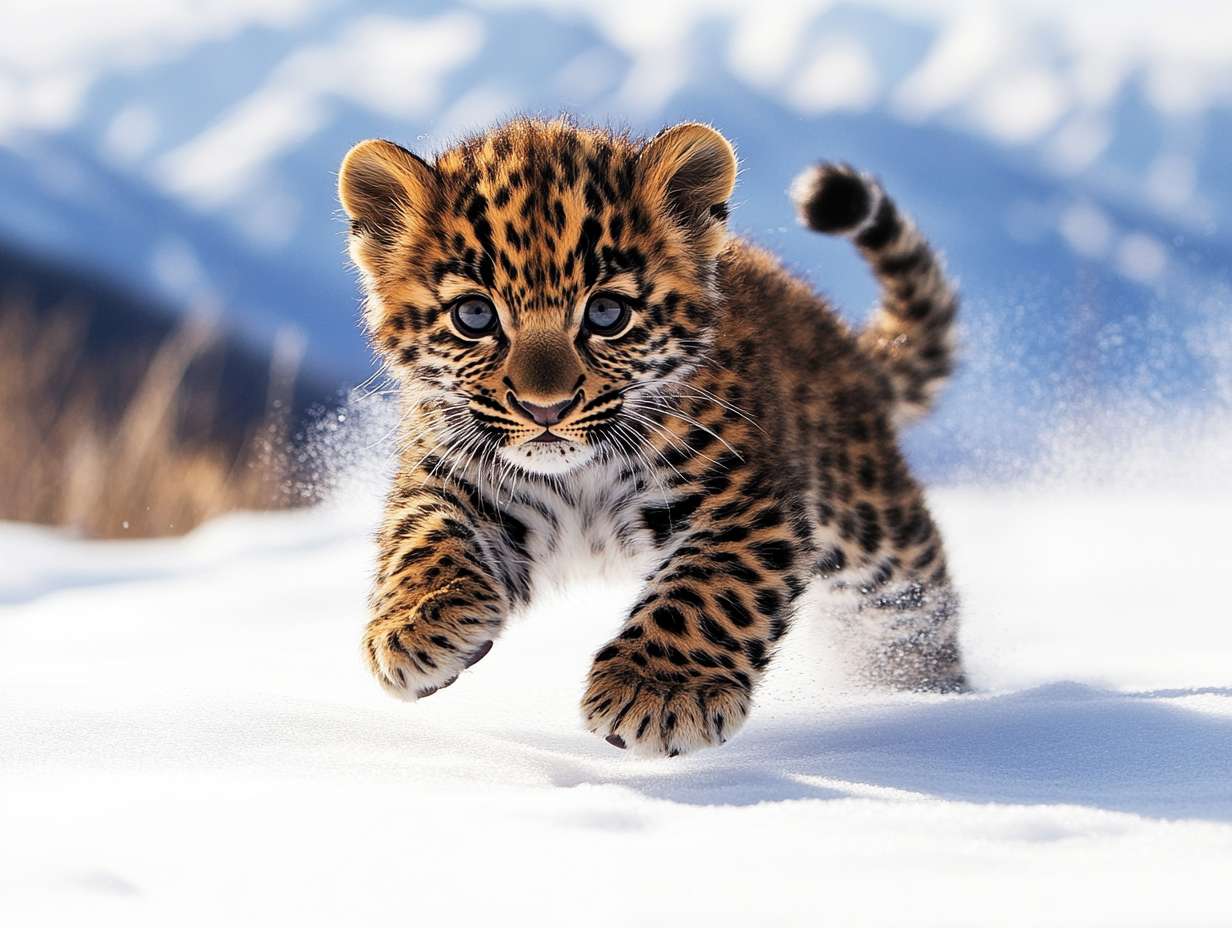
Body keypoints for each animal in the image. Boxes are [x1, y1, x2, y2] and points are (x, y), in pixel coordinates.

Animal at [338, 117, 967, 758]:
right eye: (474, 316)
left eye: (607, 313)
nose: (546, 408)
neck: (577, 475)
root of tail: (838, 334)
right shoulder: (452, 474)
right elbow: (424, 536)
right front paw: (411, 626)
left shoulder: (745, 500)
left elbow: (710, 587)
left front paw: (659, 690)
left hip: (870, 527)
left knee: (915, 610)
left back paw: (937, 701)